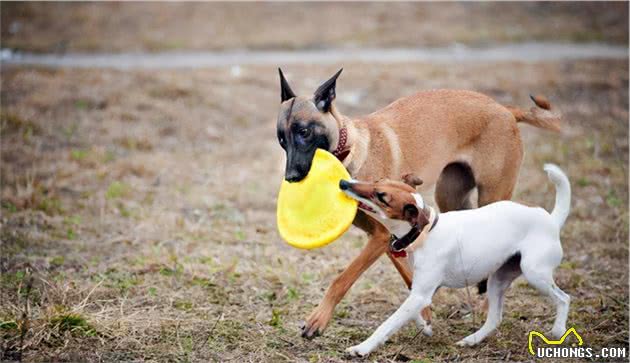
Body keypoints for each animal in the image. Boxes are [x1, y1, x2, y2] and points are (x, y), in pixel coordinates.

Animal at [276, 67, 564, 338]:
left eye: (304, 132)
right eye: (281, 139)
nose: (290, 178)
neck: (351, 151)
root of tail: (504, 109)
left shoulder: (380, 237)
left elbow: (343, 279)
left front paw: (318, 320)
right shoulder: (390, 238)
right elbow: (409, 276)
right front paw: (424, 315)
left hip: (492, 196)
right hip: (451, 197)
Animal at [340, 165, 572, 358]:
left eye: (381, 197)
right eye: (378, 180)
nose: (343, 183)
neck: (425, 233)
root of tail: (551, 220)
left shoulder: (421, 294)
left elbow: (388, 323)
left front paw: (362, 348)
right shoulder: (420, 290)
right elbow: (412, 312)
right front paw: (424, 325)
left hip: (535, 273)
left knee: (563, 298)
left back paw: (558, 331)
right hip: (498, 280)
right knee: (495, 319)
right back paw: (472, 340)